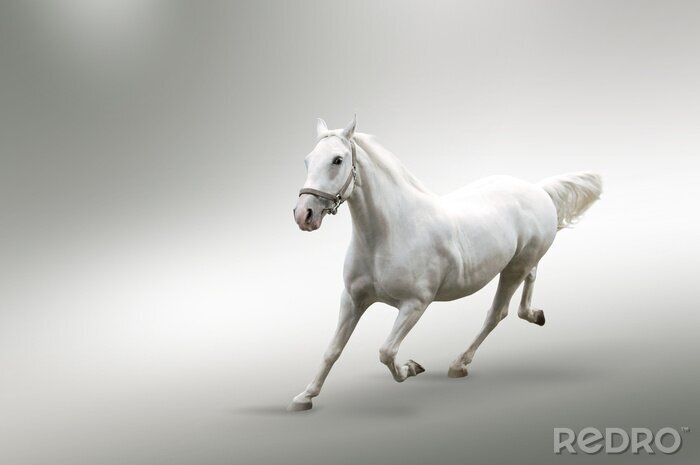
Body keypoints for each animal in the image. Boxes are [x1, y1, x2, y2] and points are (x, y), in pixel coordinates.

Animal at [290, 116, 602, 411]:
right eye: (307, 159)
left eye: (337, 160)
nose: (304, 215)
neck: (390, 233)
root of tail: (539, 191)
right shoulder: (353, 299)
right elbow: (332, 350)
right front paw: (304, 397)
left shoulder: (415, 304)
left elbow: (386, 351)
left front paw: (411, 367)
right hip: (521, 261)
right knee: (531, 277)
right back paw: (534, 314)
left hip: (512, 269)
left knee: (497, 313)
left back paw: (459, 364)